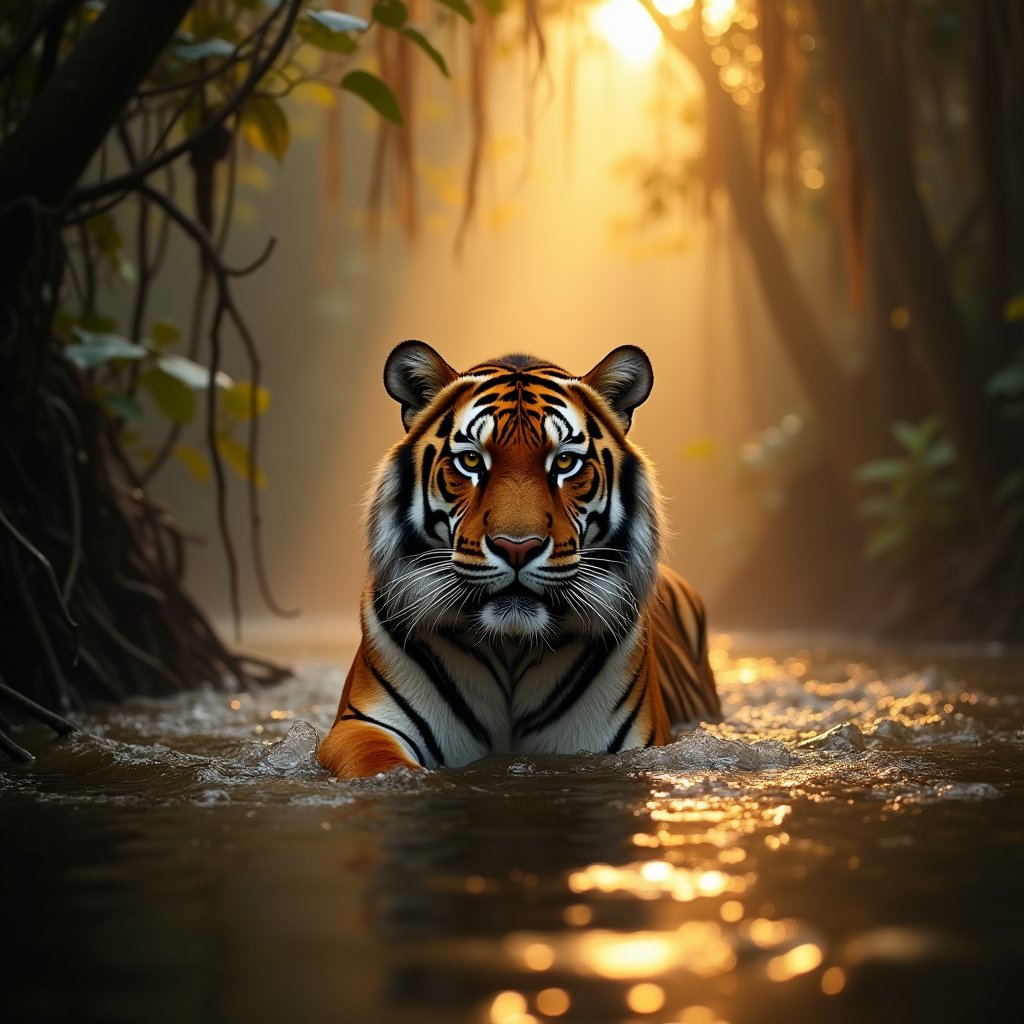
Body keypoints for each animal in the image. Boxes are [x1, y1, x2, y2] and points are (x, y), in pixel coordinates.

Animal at [317, 341, 720, 779]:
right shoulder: (363, 726)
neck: (511, 645)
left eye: (564, 463)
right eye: (471, 462)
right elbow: (381, 766)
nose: (516, 547)